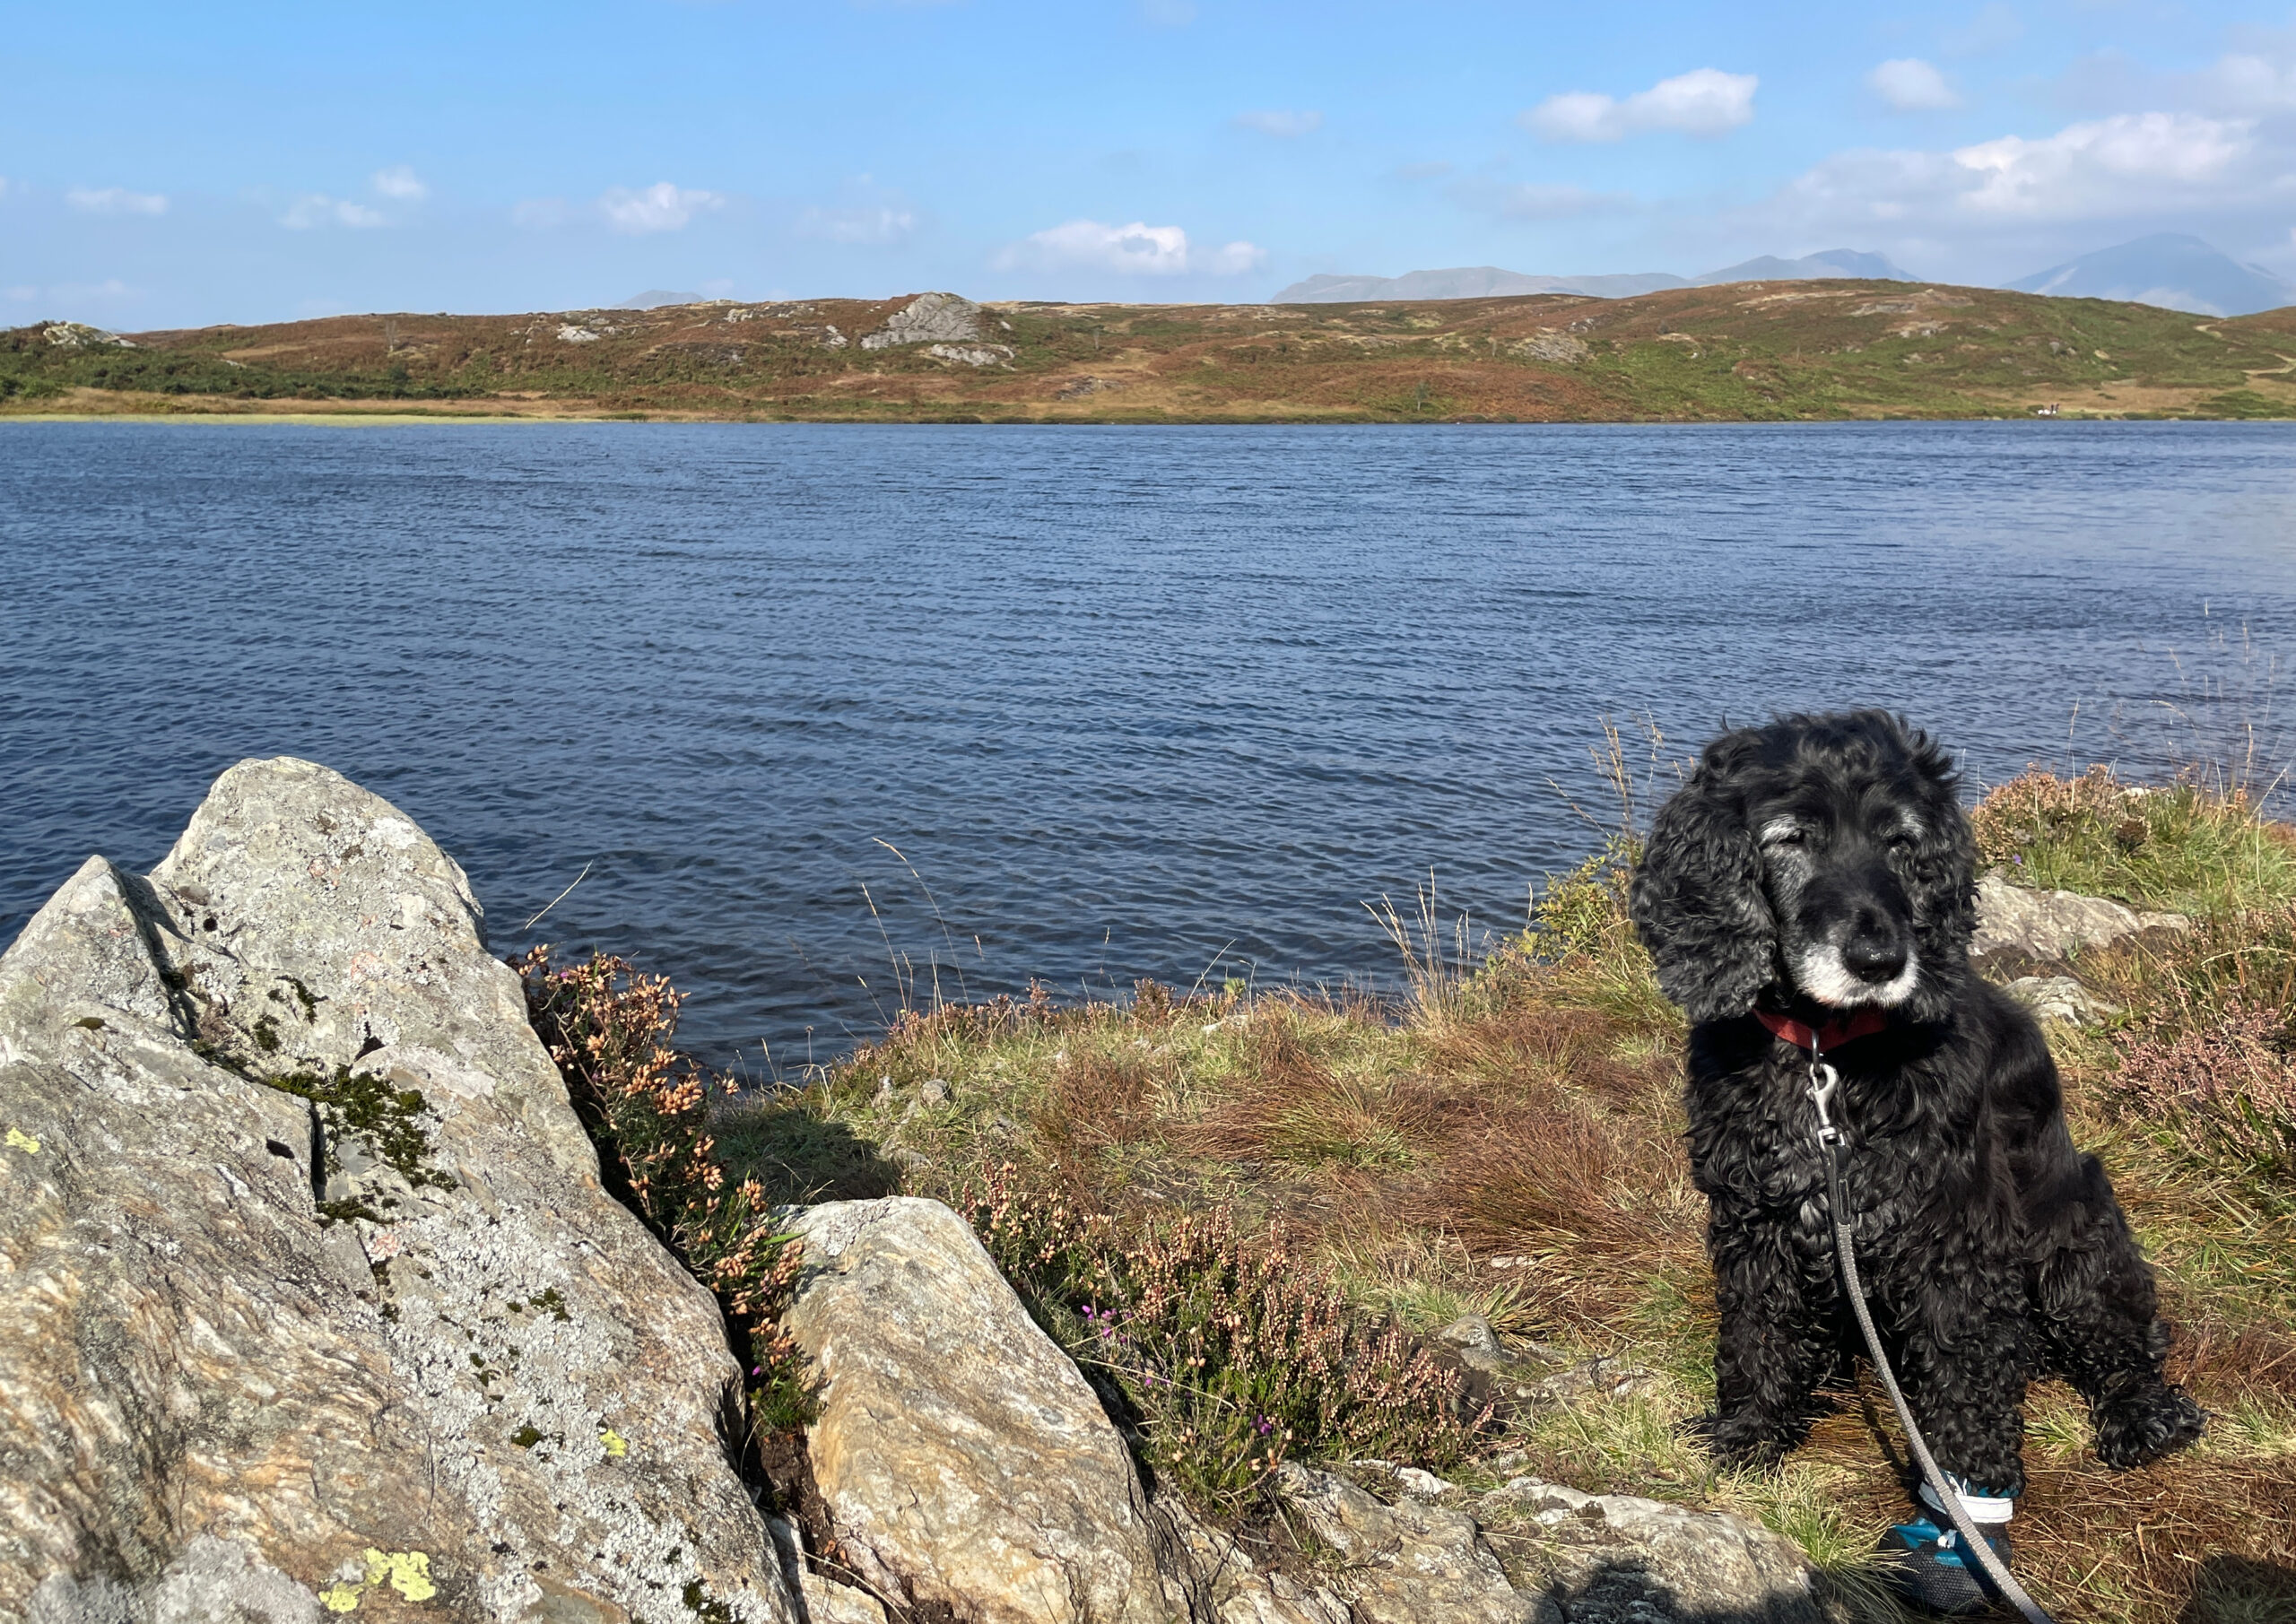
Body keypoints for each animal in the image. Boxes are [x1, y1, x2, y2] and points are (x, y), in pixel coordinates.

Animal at [1628, 711, 2203, 1607]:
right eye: (1790, 838)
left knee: (2126, 1342)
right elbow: (1756, 1333)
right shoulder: (1755, 1217)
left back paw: (2144, 1415)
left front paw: (1967, 1510)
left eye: (1901, 842)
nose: (1878, 961)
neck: (1827, 1055)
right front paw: (1750, 1432)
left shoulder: (1954, 1241)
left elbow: (1967, 1381)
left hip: (2077, 1240)